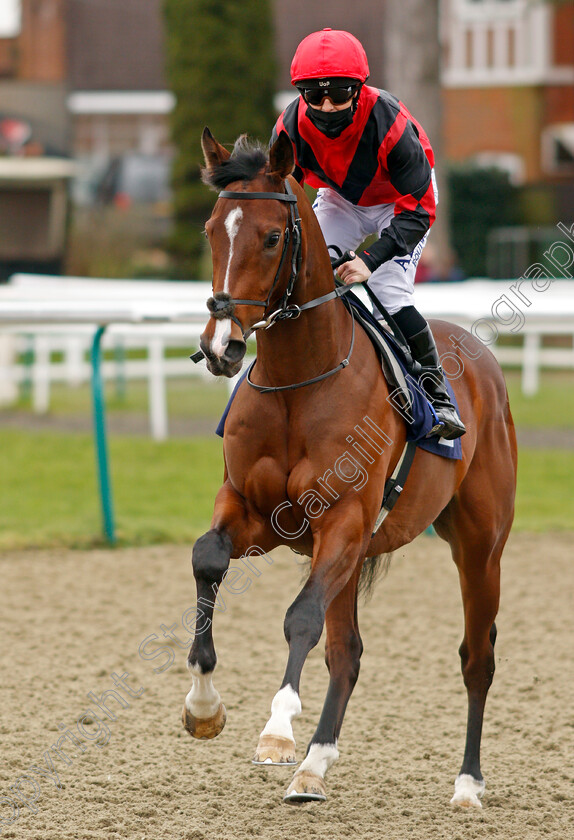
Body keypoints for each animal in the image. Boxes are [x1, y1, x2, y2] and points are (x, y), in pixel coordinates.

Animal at [182, 130, 520, 808]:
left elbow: (299, 618)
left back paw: (468, 783)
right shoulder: (256, 513)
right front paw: (204, 706)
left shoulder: (341, 520)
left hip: (479, 546)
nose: (221, 344)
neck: (299, 382)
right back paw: (315, 767)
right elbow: (208, 560)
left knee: (477, 658)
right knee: (348, 651)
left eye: (272, 237)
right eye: (210, 230)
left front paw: (278, 729)